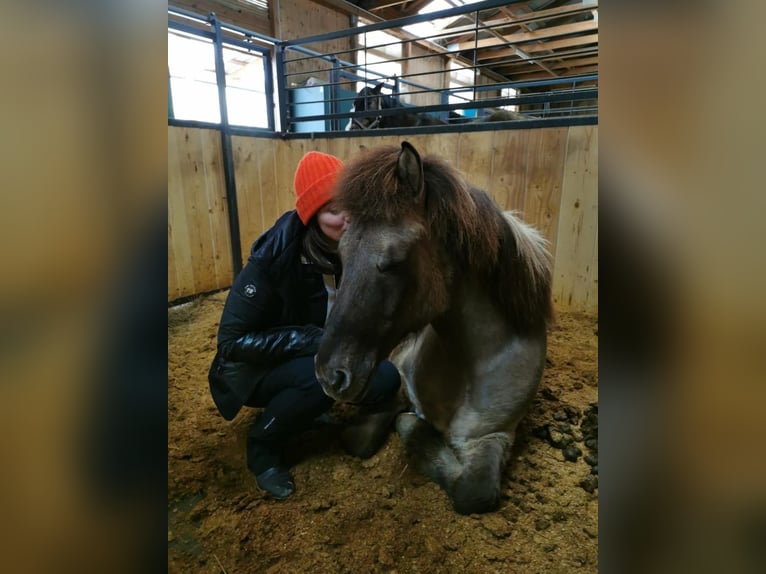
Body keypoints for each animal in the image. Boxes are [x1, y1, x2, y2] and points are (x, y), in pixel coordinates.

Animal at [314, 141, 553, 514]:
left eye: (394, 261)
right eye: (342, 252)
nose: (330, 375)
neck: (466, 366)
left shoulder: (495, 435)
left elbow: (473, 491)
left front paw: (413, 423)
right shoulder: (398, 380)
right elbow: (359, 439)